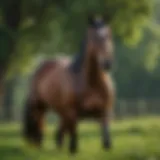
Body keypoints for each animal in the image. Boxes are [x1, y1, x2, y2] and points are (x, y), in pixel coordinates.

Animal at [23, 14, 114, 154]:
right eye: (94, 37)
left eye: (108, 35)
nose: (107, 63)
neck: (91, 83)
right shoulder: (72, 112)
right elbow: (74, 140)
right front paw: (72, 149)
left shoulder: (104, 111)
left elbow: (106, 141)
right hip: (39, 106)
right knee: (38, 123)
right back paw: (37, 144)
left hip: (60, 111)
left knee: (58, 131)